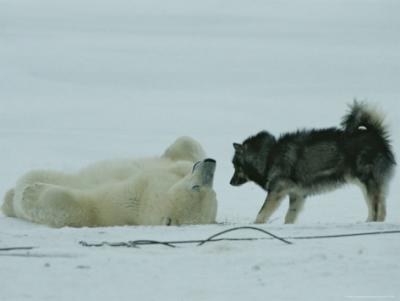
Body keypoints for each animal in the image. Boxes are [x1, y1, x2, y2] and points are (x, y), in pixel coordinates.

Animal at [1, 137, 217, 227]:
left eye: (196, 187)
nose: (211, 164)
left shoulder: (127, 201)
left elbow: (85, 207)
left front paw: (31, 192)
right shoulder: (156, 177)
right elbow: (186, 146)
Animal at [230, 101, 396, 223]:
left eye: (236, 166)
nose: (230, 183)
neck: (269, 155)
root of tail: (376, 136)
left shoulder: (278, 190)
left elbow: (262, 213)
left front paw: (256, 225)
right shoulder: (296, 194)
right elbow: (289, 217)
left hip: (367, 181)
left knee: (376, 208)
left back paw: (371, 224)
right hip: (365, 184)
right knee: (381, 207)